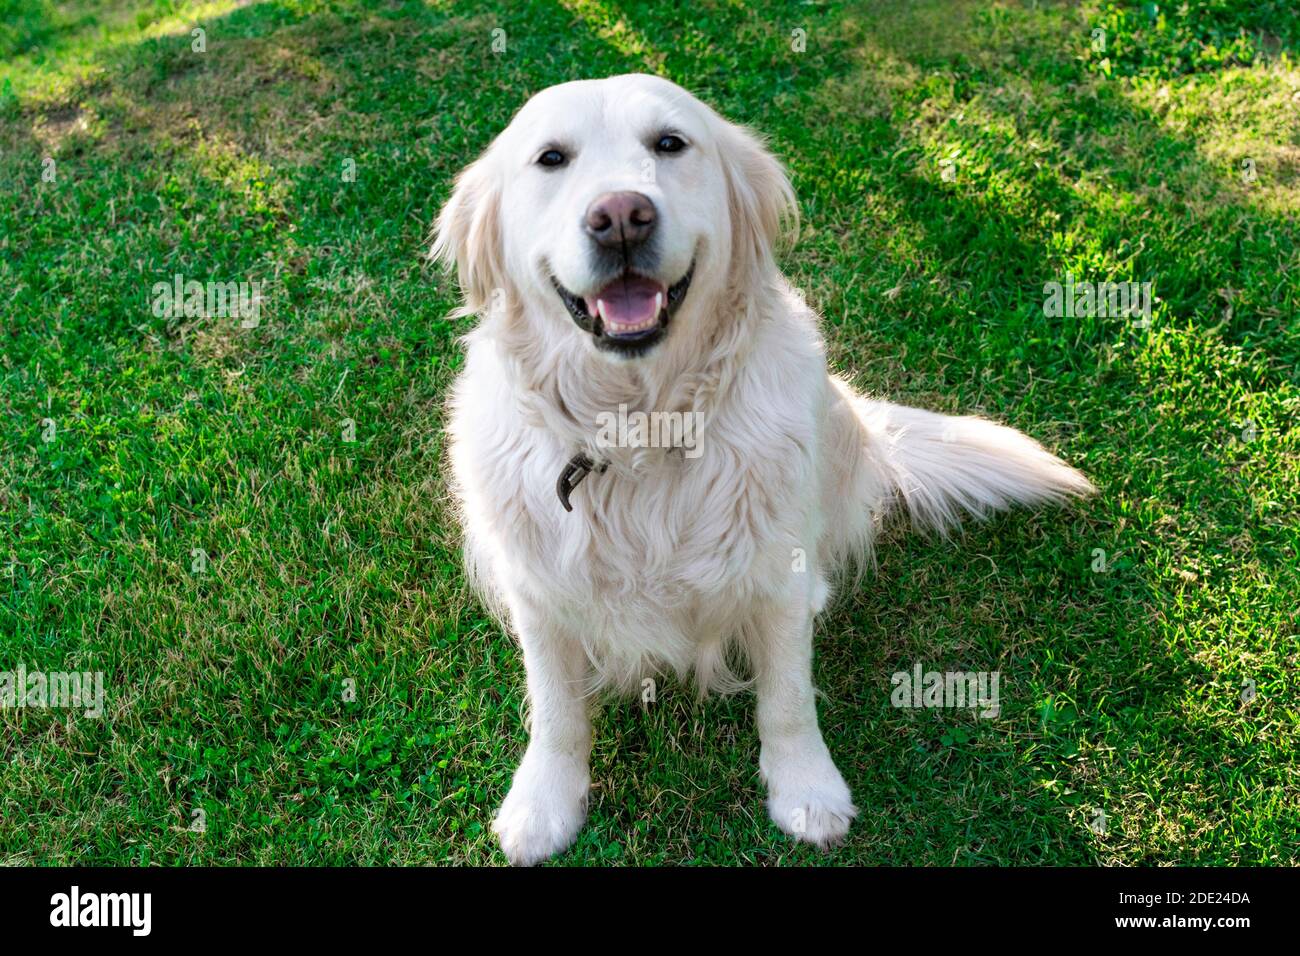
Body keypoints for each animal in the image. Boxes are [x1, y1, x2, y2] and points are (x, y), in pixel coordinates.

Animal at [431, 74, 1092, 868]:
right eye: (551, 158)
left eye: (670, 143)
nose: (621, 217)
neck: (642, 429)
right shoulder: (539, 591)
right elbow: (557, 708)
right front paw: (544, 803)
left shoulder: (777, 571)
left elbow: (787, 698)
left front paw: (806, 789)